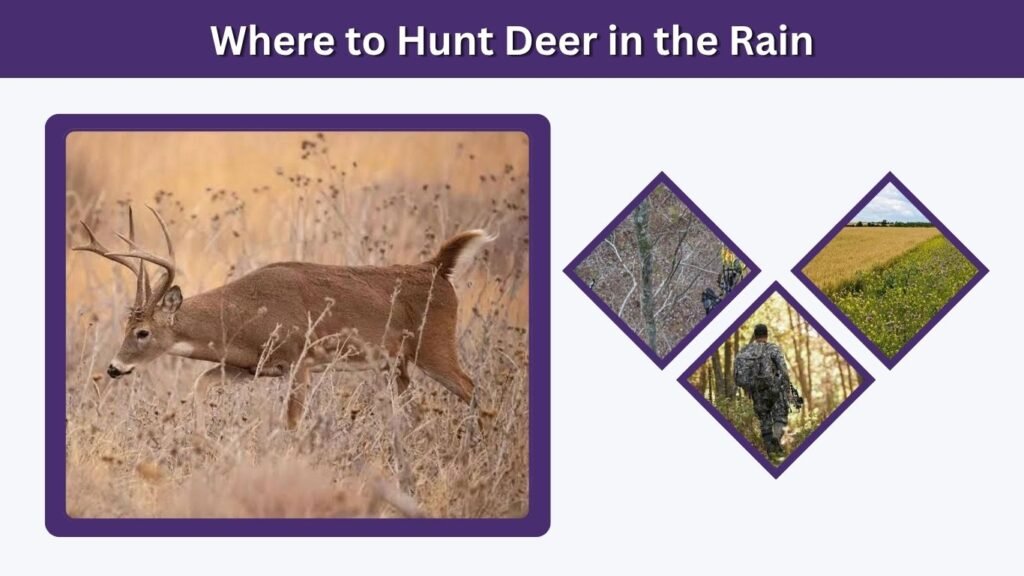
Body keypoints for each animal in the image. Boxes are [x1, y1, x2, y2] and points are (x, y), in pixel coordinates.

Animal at [72, 206, 495, 431]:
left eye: (142, 332)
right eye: (126, 327)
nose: (113, 368)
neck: (244, 316)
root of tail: (437, 268)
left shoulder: (299, 359)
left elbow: (292, 421)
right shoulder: (252, 366)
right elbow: (201, 385)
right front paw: (201, 437)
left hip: (434, 346)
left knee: (473, 389)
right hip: (398, 364)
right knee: (415, 408)